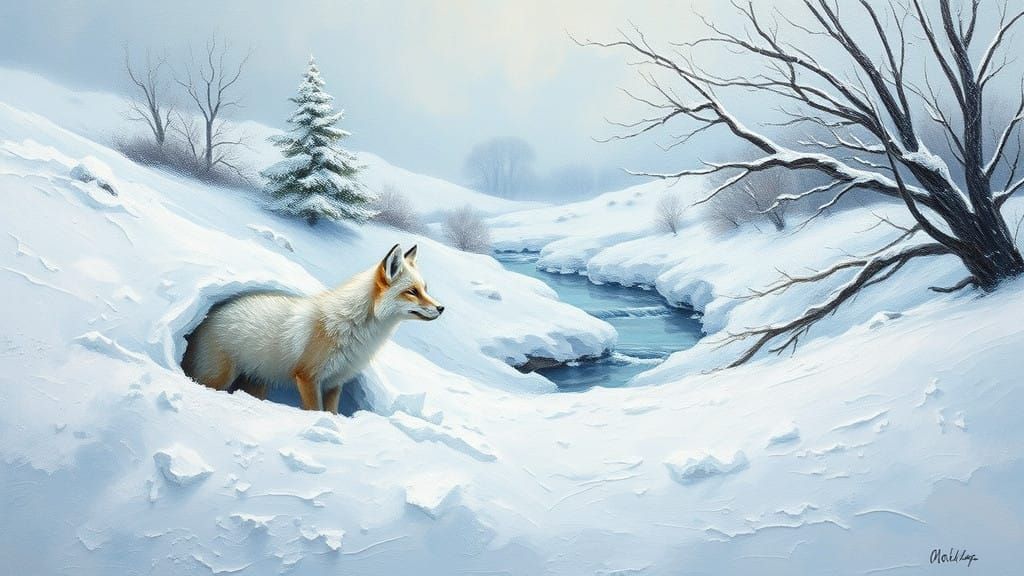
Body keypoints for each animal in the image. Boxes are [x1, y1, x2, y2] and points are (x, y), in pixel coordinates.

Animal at [182, 243, 444, 413]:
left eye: (425, 289)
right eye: (412, 292)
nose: (441, 308)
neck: (354, 329)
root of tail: (208, 314)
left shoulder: (334, 383)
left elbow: (332, 413)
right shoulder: (308, 377)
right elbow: (314, 411)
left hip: (256, 384)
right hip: (217, 378)